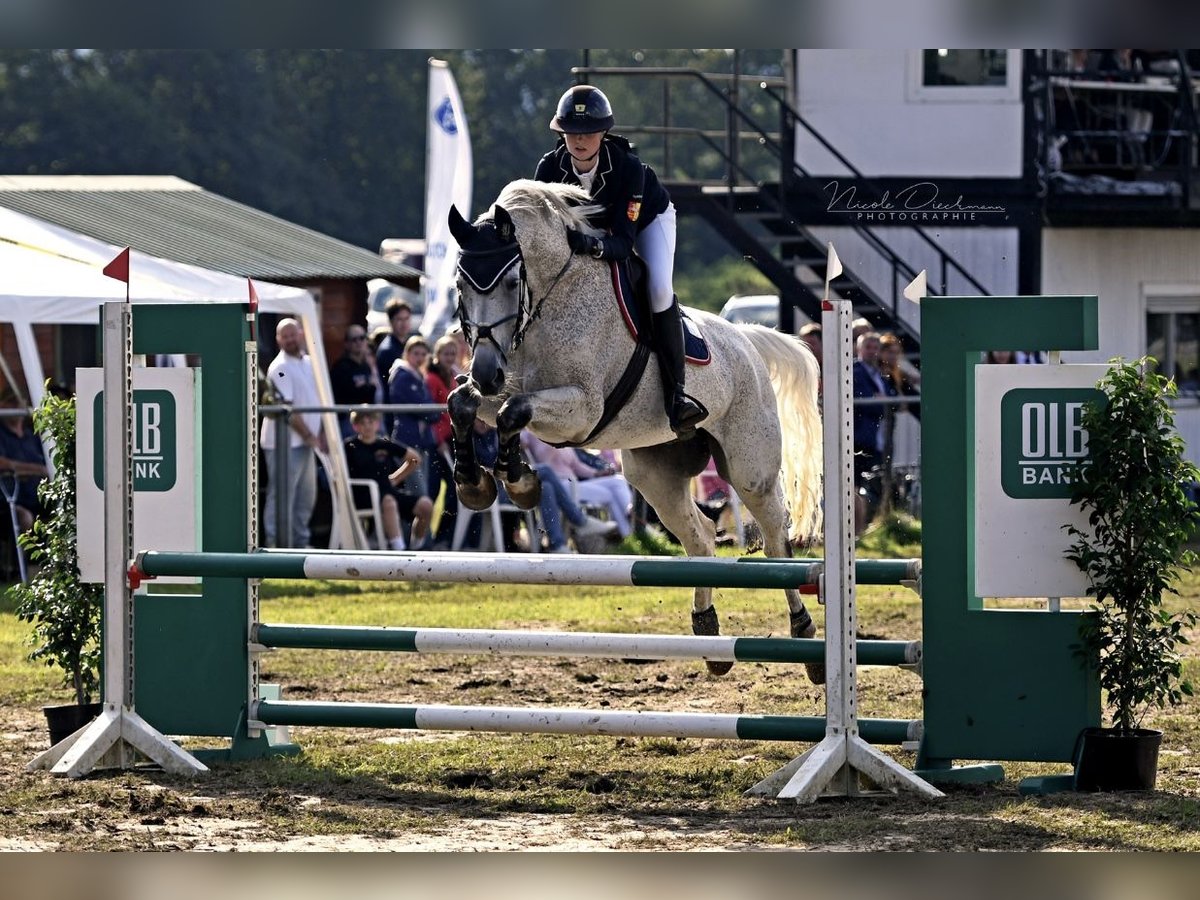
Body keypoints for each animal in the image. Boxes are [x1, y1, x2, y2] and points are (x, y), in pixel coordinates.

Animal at [446, 180, 820, 681]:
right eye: (460, 285)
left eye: (509, 282)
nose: (485, 371)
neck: (546, 304)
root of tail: (746, 339)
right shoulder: (504, 387)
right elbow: (465, 403)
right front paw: (475, 481)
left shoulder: (582, 409)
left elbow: (513, 412)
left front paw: (518, 480)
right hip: (655, 474)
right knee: (701, 536)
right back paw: (708, 633)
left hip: (749, 468)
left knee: (776, 535)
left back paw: (803, 632)